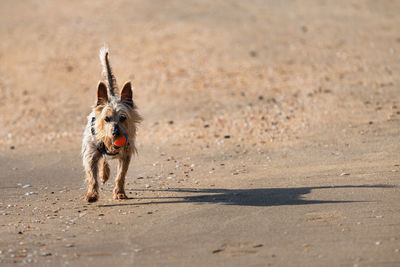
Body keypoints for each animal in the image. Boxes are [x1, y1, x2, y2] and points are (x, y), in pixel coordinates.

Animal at [81, 45, 142, 203]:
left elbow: (121, 175)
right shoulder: (91, 153)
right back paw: (103, 174)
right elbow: (92, 175)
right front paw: (92, 194)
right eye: (106, 119)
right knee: (103, 159)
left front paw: (119, 192)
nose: (115, 132)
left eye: (123, 117)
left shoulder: (126, 154)